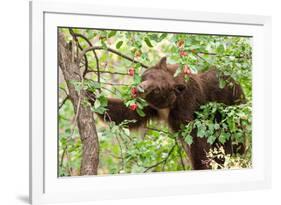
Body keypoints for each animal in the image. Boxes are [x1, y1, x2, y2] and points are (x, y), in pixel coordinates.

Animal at [86, 56, 245, 170]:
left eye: (157, 89)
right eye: (147, 76)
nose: (139, 89)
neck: (169, 105)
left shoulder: (187, 105)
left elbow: (196, 138)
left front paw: (201, 165)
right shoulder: (150, 107)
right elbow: (129, 114)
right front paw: (91, 95)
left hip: (229, 114)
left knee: (233, 143)